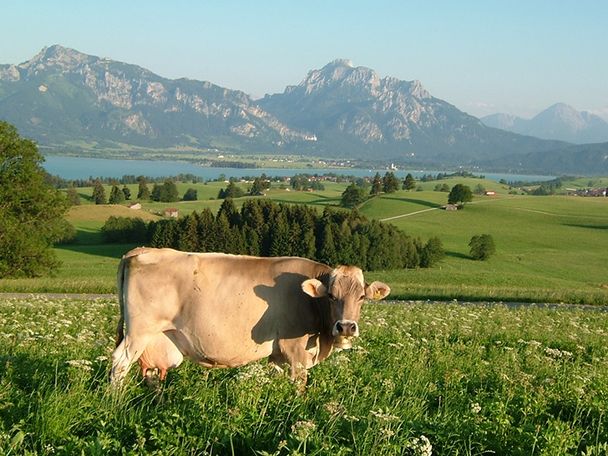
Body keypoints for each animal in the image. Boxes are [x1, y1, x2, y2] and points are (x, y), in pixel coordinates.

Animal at [110, 249, 390, 384]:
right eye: (331, 295)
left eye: (361, 297)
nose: (346, 327)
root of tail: (141, 251)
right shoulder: (294, 350)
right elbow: (299, 386)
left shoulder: (278, 355)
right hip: (138, 332)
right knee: (119, 363)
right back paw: (116, 403)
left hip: (156, 338)